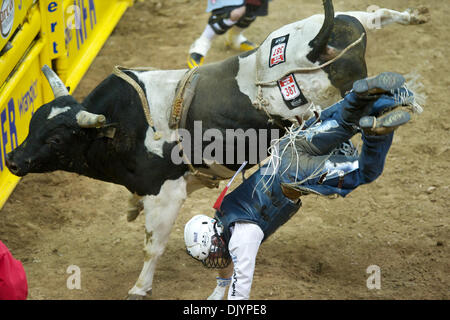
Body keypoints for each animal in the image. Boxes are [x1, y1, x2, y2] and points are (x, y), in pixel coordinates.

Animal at [6, 1, 428, 298]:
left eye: (55, 139)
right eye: (32, 123)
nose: (11, 159)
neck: (124, 125)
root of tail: (314, 45)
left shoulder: (166, 194)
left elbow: (152, 246)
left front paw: (140, 288)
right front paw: (129, 208)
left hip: (337, 89)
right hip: (345, 26)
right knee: (373, 16)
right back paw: (412, 19)